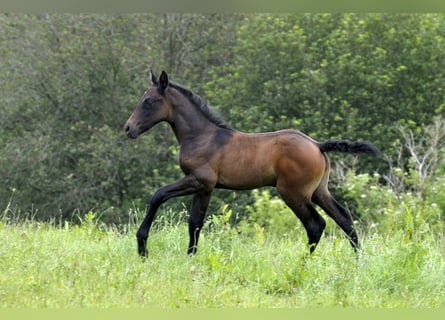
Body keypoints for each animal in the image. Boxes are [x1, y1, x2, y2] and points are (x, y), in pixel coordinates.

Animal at [124, 70, 378, 258]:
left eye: (149, 101)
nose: (128, 128)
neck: (202, 136)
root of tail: (317, 144)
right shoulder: (205, 188)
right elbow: (195, 222)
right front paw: (191, 258)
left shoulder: (198, 180)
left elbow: (158, 195)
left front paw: (142, 246)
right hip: (318, 190)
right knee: (344, 217)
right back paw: (358, 260)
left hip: (293, 193)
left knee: (316, 224)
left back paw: (305, 263)